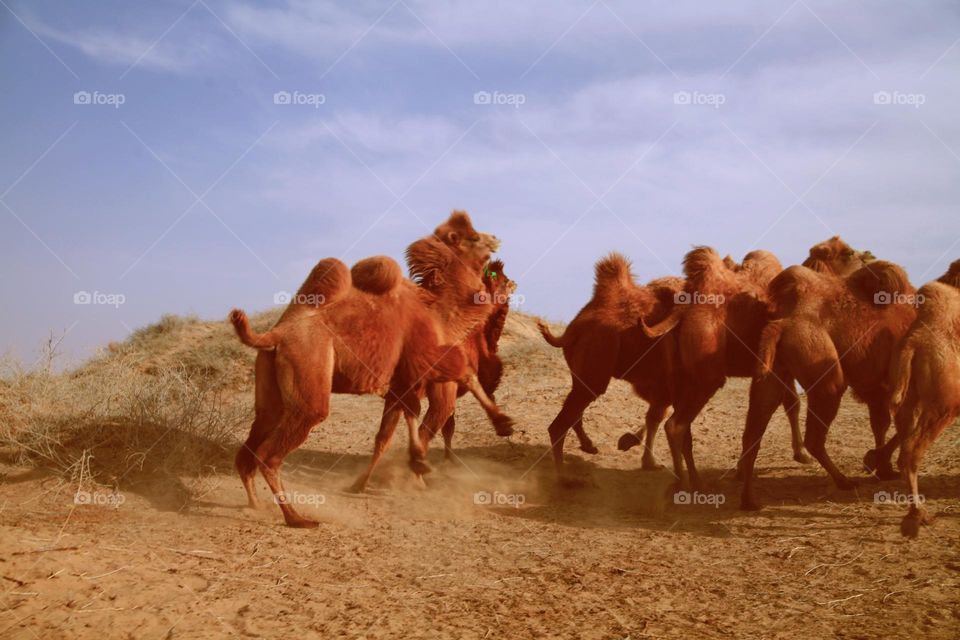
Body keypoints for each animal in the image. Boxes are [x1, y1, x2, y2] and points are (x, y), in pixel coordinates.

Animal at [230, 212, 512, 528]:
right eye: (474, 237)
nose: (496, 238)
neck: (439, 311)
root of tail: (275, 333)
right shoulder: (424, 362)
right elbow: (464, 376)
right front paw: (503, 423)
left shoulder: (403, 379)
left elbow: (391, 430)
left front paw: (411, 464)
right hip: (308, 374)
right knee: (271, 454)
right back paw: (296, 517)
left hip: (270, 389)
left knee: (250, 447)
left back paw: (255, 504)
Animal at [740, 258, 920, 510]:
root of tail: (782, 323)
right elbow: (903, 425)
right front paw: (876, 463)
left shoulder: (878, 388)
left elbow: (881, 424)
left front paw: (881, 466)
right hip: (826, 376)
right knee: (814, 438)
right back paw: (844, 481)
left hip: (771, 374)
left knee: (753, 432)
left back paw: (749, 499)